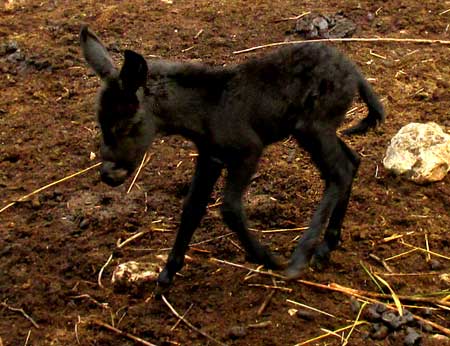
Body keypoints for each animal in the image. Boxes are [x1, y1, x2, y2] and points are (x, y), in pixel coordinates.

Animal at [80, 25, 384, 288]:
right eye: (100, 123)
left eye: (127, 125)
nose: (109, 174)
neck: (206, 110)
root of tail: (355, 73)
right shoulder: (210, 156)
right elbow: (192, 207)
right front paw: (167, 274)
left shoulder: (248, 149)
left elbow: (229, 208)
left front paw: (269, 259)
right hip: (317, 130)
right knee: (352, 161)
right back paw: (326, 246)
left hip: (314, 126)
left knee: (339, 173)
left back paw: (301, 257)